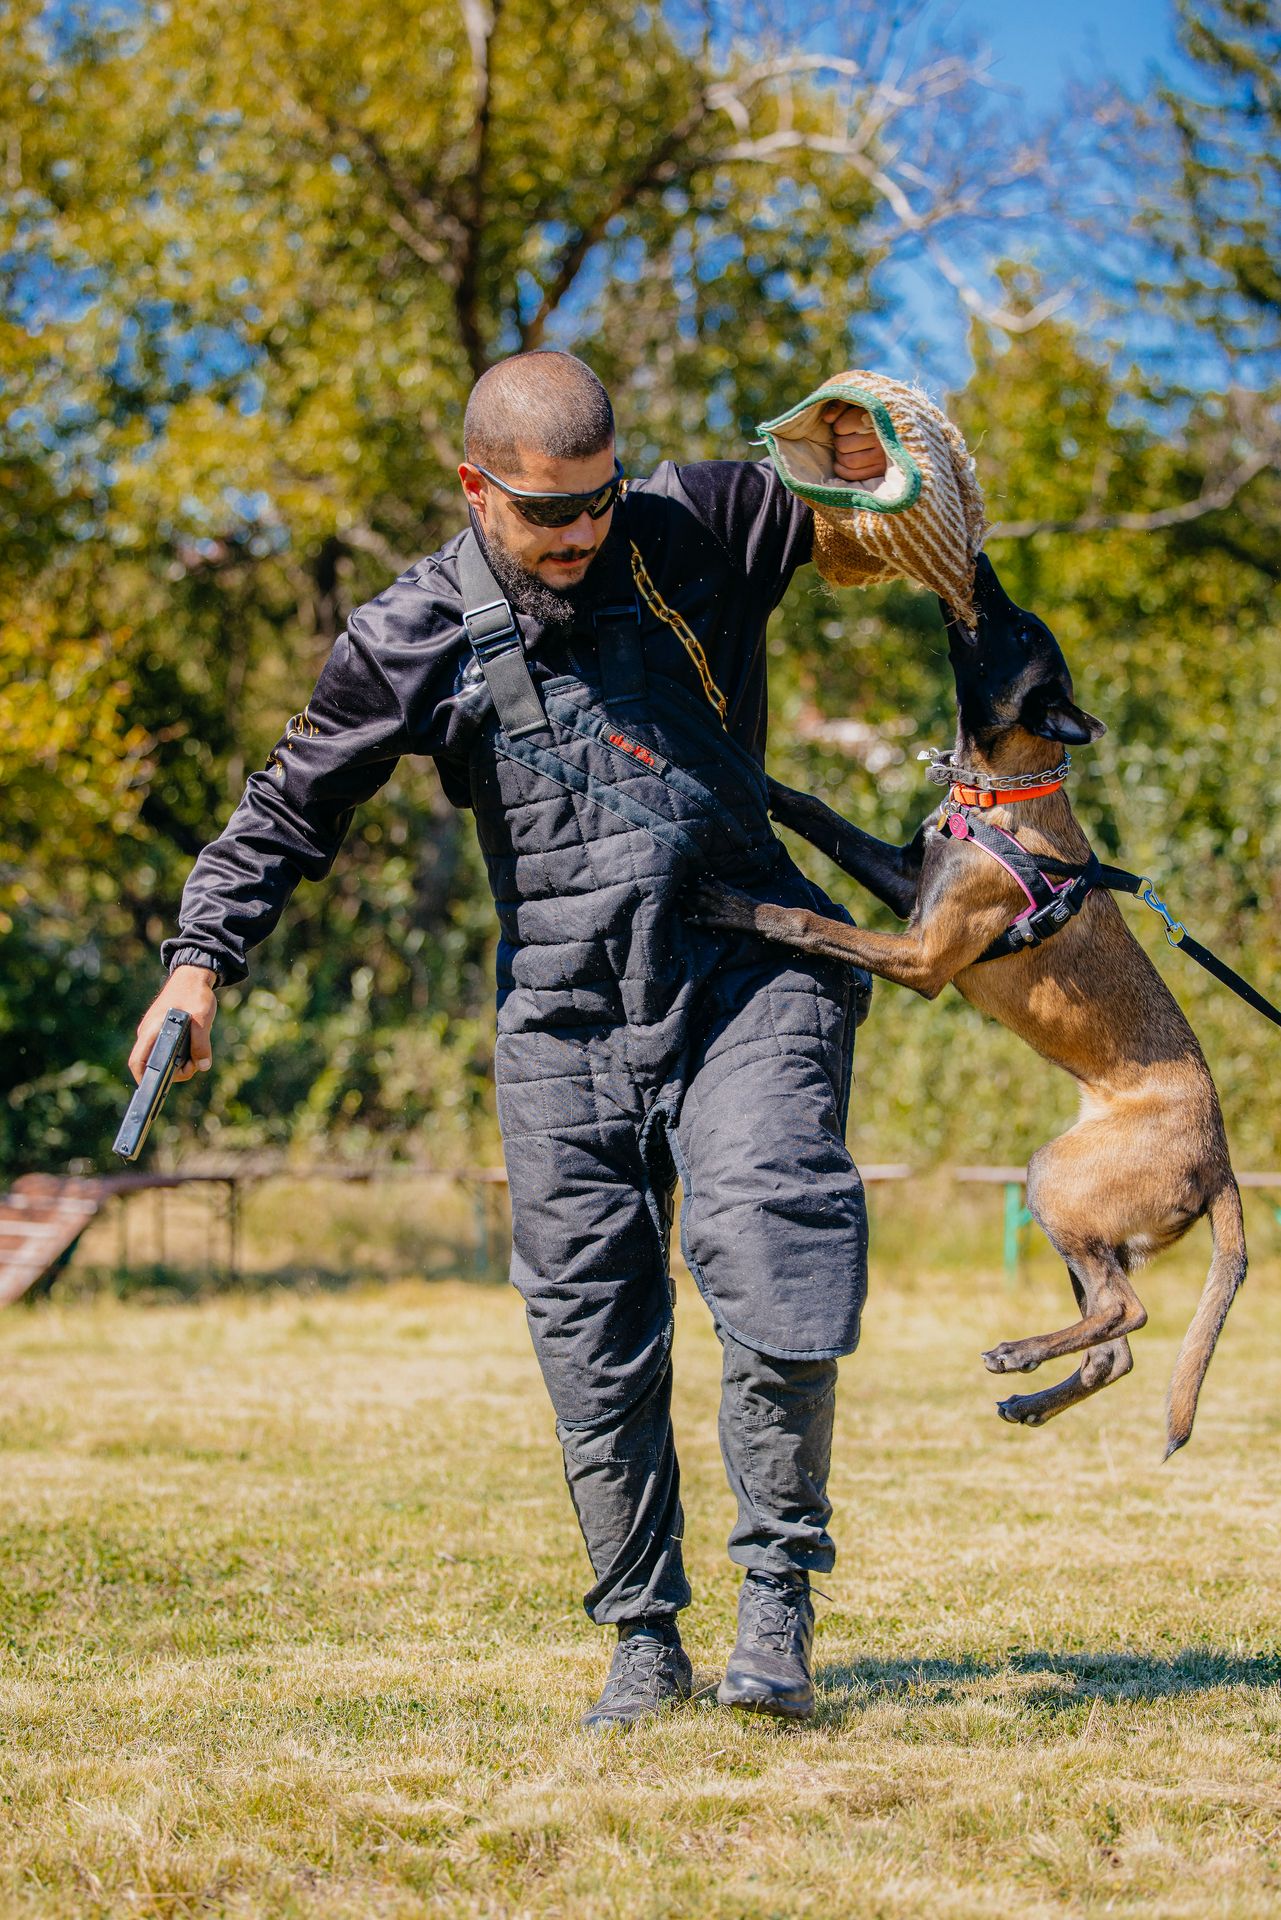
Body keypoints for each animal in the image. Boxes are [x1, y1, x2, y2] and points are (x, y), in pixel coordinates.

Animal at [694, 554, 1246, 1456]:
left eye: (1018, 627)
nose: (979, 565)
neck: (997, 796)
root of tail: (1223, 1163)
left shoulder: (920, 955)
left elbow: (805, 921)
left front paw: (730, 904)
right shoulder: (905, 884)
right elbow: (821, 813)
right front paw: (771, 782)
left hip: (1055, 1181)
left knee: (1124, 1311)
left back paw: (1016, 1353)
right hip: (1083, 1219)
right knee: (1112, 1346)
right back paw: (1032, 1395)